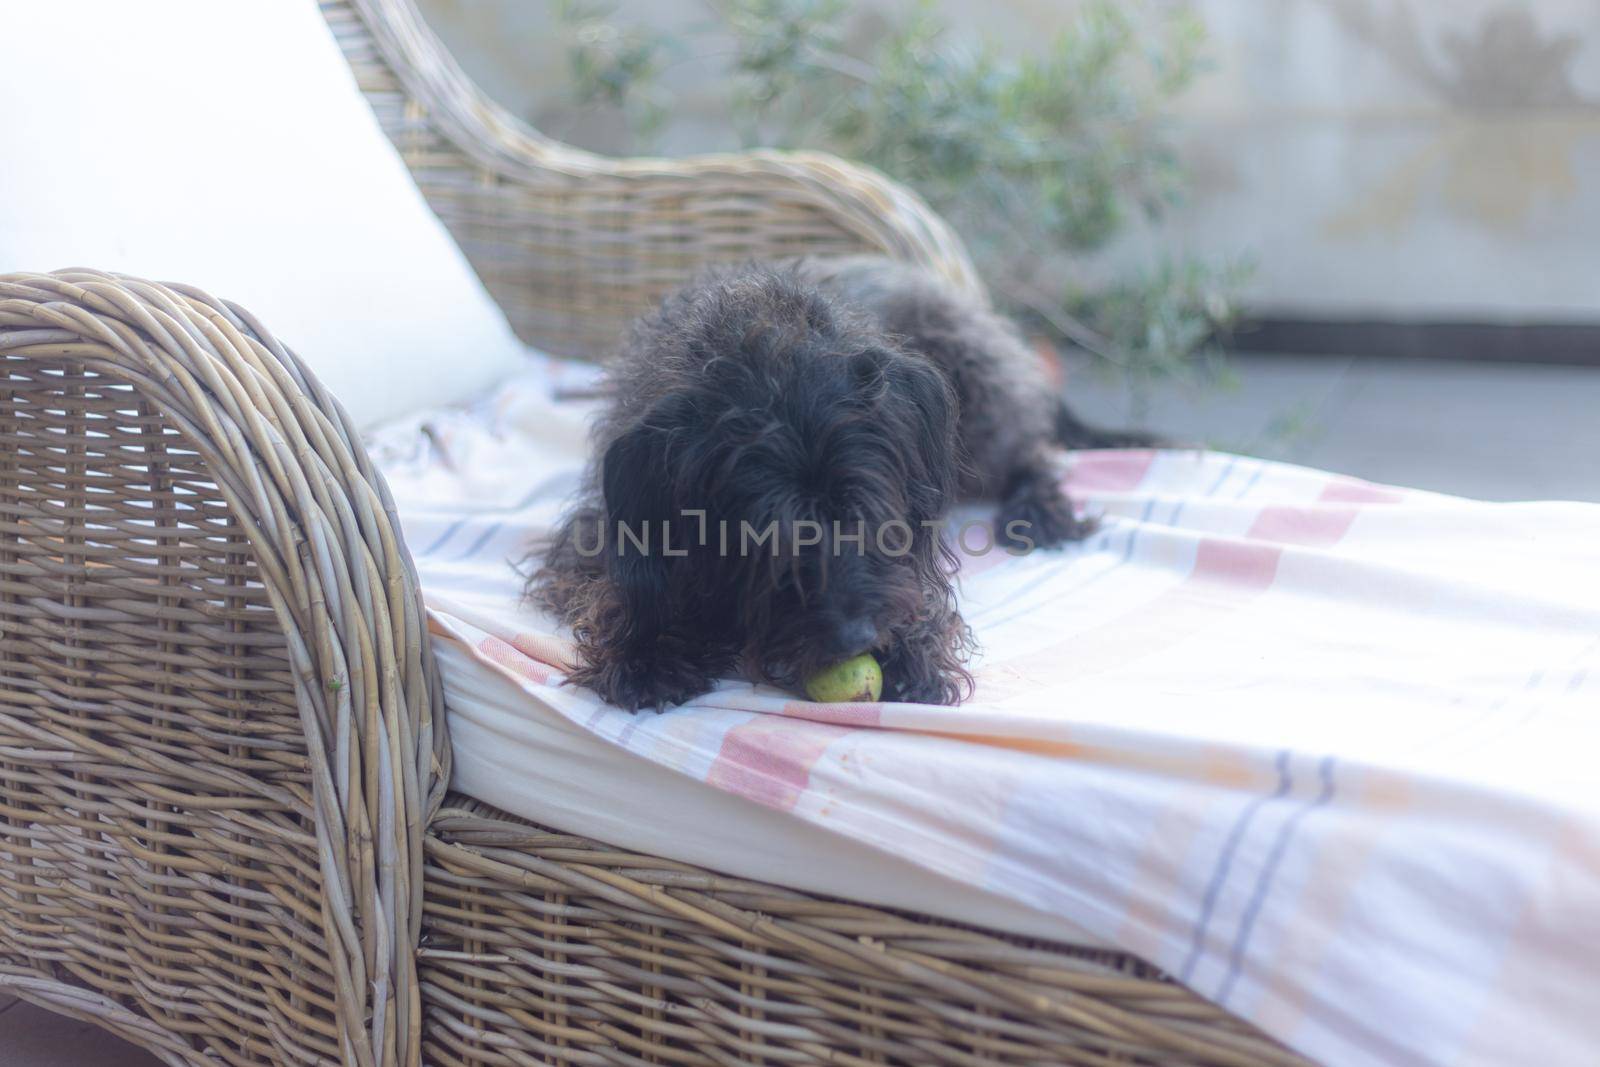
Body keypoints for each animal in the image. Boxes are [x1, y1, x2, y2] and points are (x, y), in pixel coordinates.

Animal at [534, 257, 1152, 710]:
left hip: (978, 391)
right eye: (769, 537)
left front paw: (912, 653)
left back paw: (1040, 511)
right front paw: (647, 653)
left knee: (1030, 450)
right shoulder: (604, 521)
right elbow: (619, 584)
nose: (857, 639)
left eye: (866, 517)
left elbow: (919, 588)